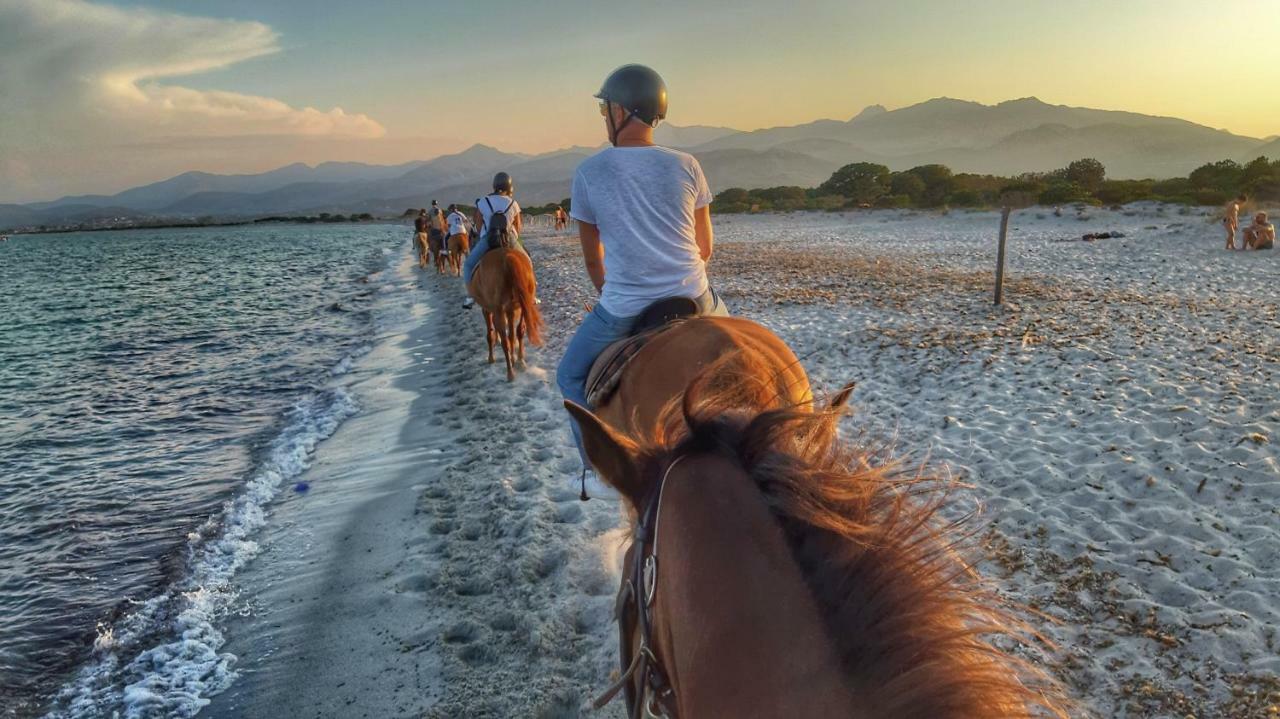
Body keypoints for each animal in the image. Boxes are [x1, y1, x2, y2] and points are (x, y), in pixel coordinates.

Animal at [468, 248, 542, 381]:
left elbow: (490, 334)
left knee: (505, 341)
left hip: (498, 310)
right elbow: (512, 334)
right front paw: (514, 359)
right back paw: (520, 362)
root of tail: (508, 258)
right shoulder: (510, 310)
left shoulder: (487, 309)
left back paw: (510, 373)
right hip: (523, 305)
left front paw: (491, 358)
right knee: (519, 331)